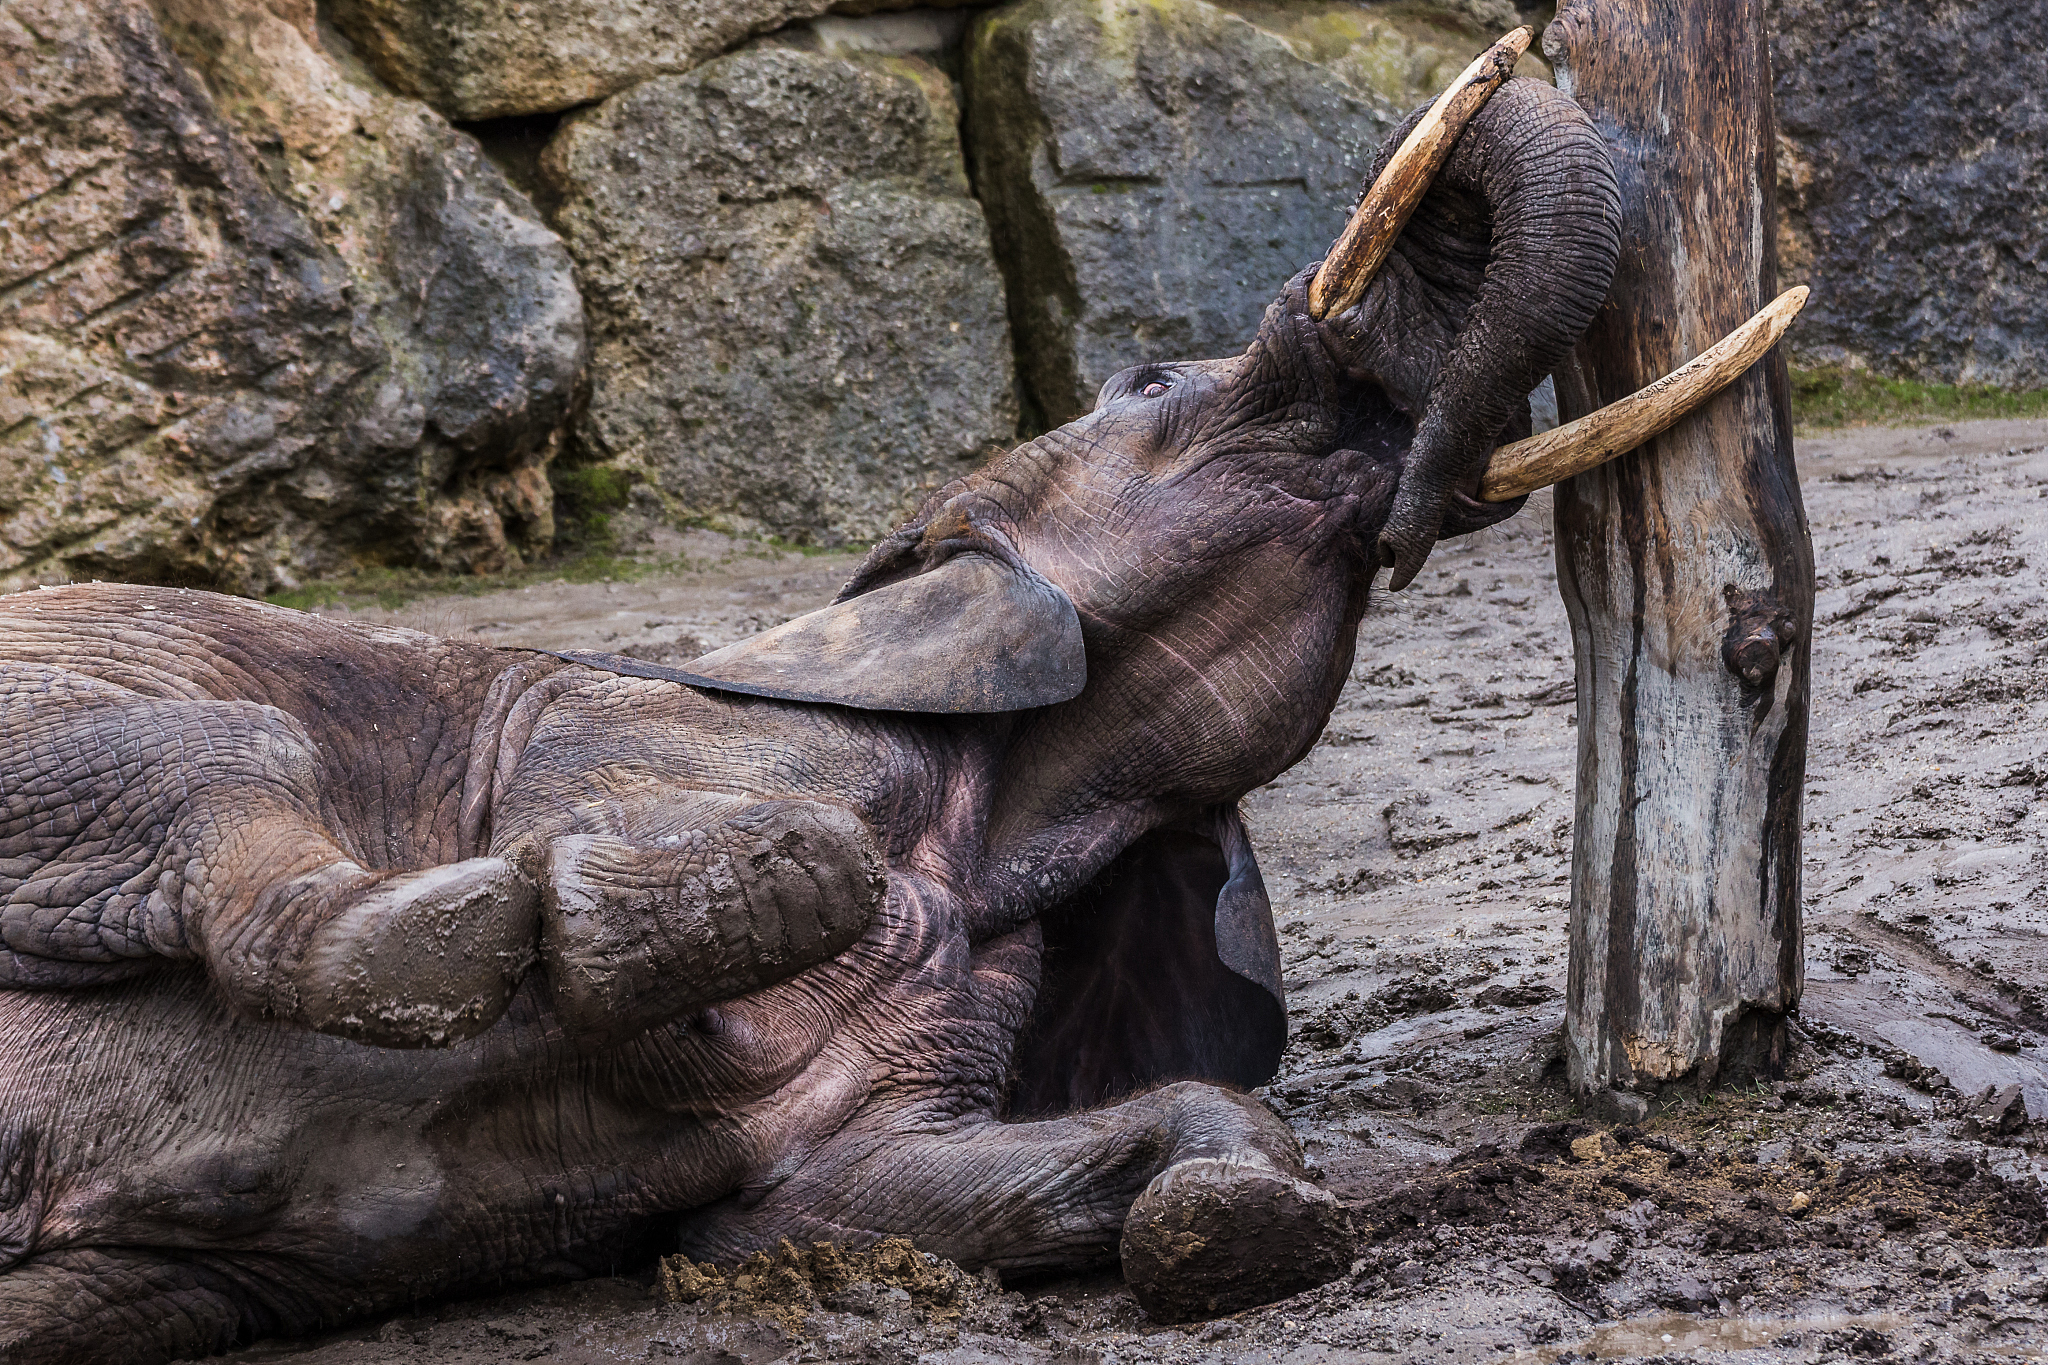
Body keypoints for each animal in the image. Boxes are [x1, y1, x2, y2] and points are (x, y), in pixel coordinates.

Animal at [0, 71, 1658, 1362]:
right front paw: (687, 912)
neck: (1004, 810)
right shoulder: (659, 729)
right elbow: (603, 861)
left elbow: (820, 1205)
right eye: (1145, 378)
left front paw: (1231, 1228)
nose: (1426, 496)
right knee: (201, 757)